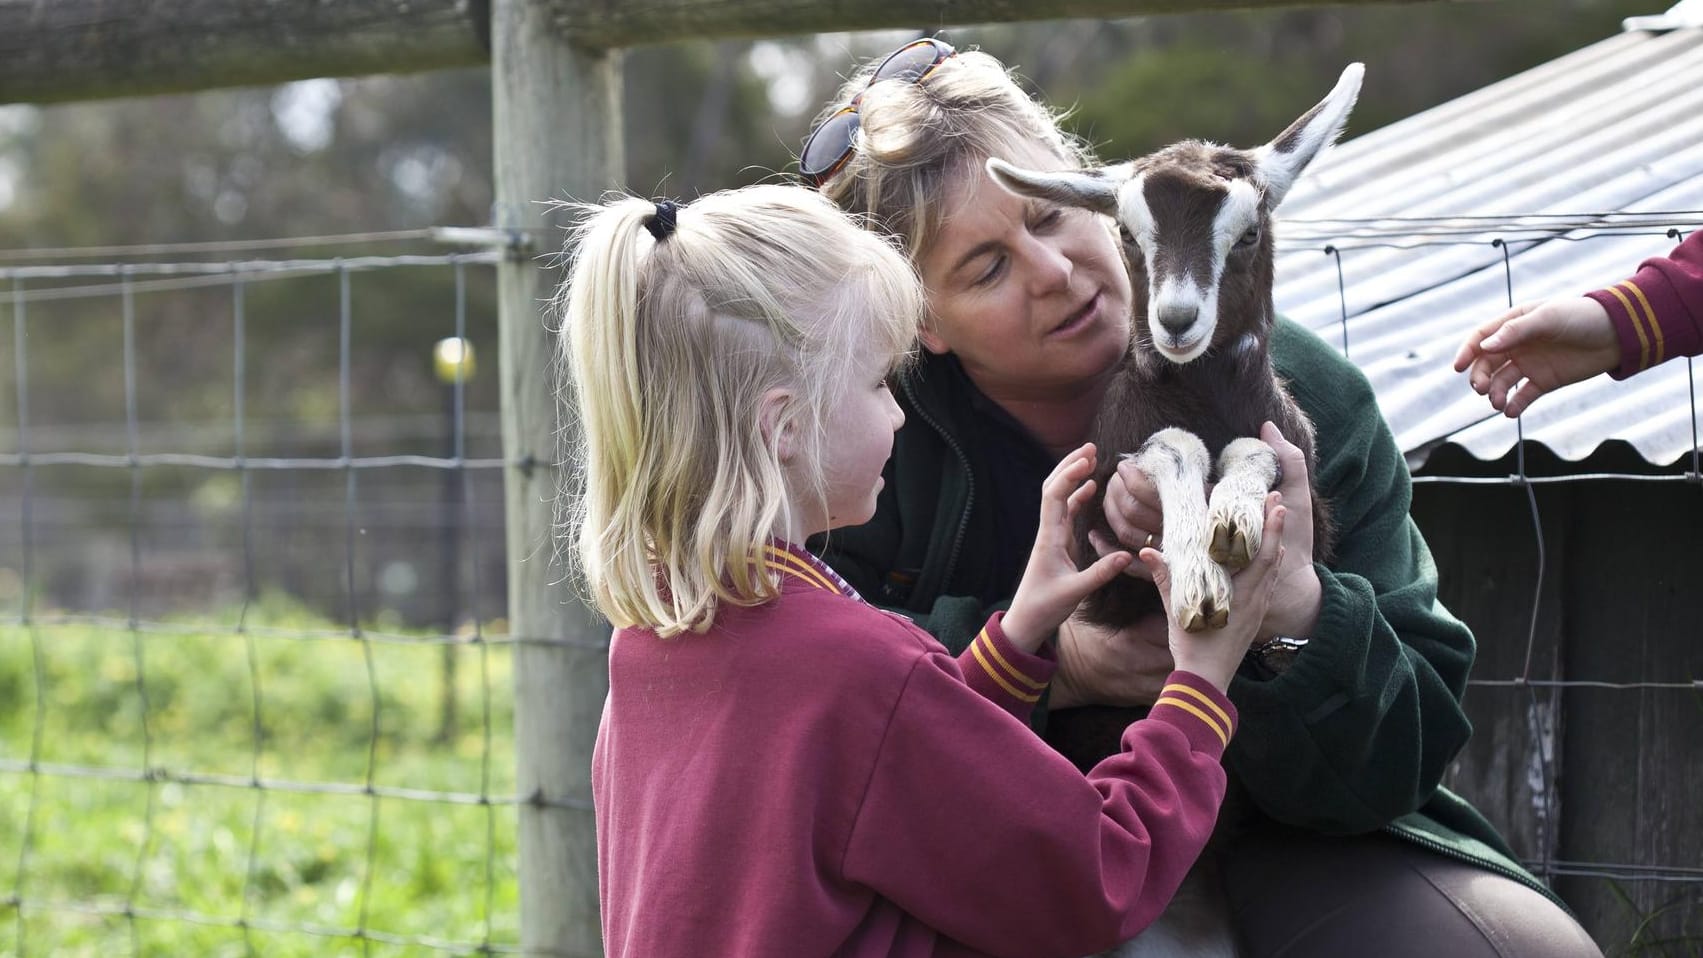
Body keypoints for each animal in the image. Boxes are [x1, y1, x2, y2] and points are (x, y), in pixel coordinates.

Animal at [994, 65, 1362, 958]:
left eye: (1248, 232)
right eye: (1128, 235)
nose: (1177, 319)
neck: (1206, 398)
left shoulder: (1306, 496)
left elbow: (1250, 455)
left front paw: (1230, 524)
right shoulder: (1106, 553)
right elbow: (1174, 449)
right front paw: (1199, 572)